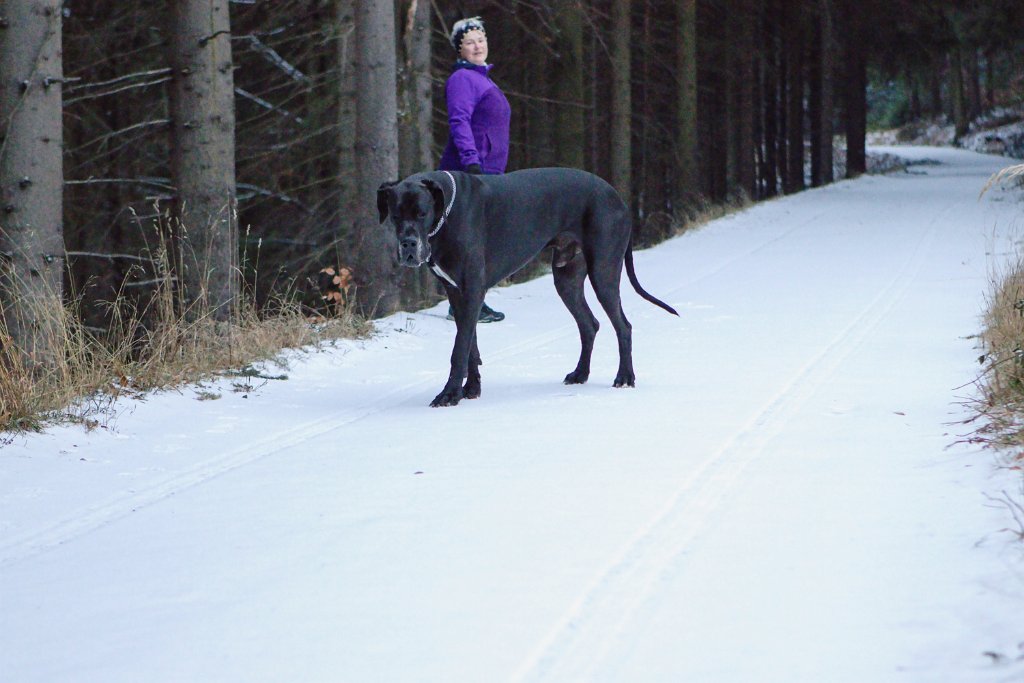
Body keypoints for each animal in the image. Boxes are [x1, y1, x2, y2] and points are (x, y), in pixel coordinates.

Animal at [378, 167, 679, 409]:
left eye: (421, 213)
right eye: (395, 216)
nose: (408, 244)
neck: (446, 214)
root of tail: (617, 196)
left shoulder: (472, 290)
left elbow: (459, 349)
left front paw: (450, 394)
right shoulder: (458, 293)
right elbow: (470, 345)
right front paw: (470, 389)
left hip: (603, 272)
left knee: (623, 326)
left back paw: (625, 377)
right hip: (567, 279)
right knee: (589, 324)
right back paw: (580, 374)